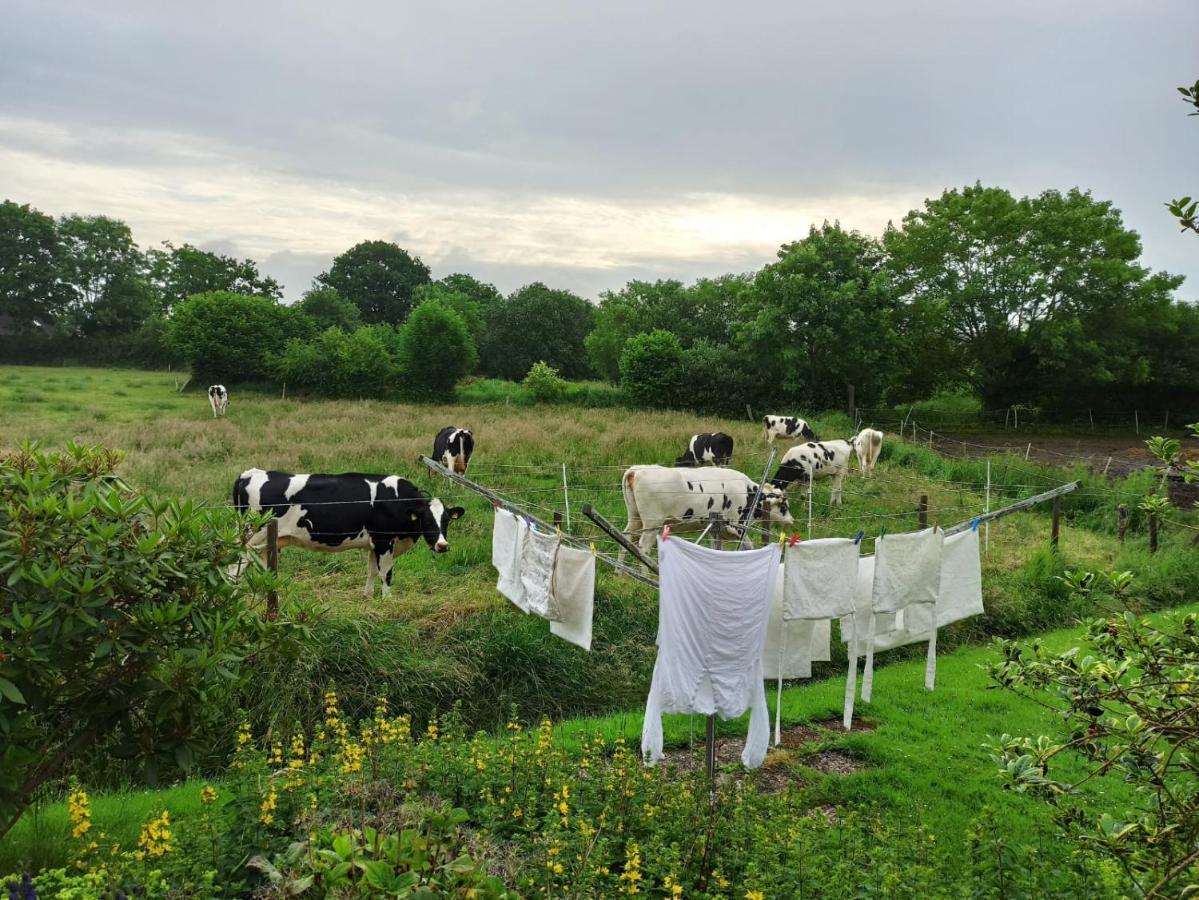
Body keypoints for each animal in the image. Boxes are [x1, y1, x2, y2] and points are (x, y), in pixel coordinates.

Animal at [232, 472, 462, 599]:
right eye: (427, 521)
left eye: (446, 521)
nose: (443, 546)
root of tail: (249, 474)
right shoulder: (384, 540)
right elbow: (385, 574)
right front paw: (387, 600)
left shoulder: (373, 544)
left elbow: (371, 571)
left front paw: (367, 597)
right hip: (252, 534)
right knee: (237, 565)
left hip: (266, 541)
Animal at [618, 464, 796, 563]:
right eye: (784, 506)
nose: (792, 520)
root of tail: (636, 470)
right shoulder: (737, 526)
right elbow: (748, 547)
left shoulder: (715, 528)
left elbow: (716, 550)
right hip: (652, 522)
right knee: (643, 547)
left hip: (635, 518)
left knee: (626, 539)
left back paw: (620, 573)